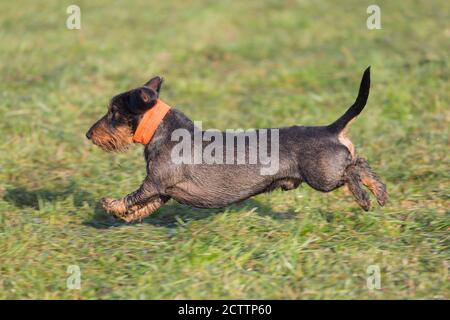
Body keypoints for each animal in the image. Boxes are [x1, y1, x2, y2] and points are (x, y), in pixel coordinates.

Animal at [87, 67, 386, 222]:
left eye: (113, 112)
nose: (88, 134)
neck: (162, 130)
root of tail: (331, 129)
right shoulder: (162, 192)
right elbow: (144, 206)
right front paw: (126, 216)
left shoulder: (153, 183)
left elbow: (131, 197)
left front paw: (110, 205)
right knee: (361, 163)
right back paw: (380, 193)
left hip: (323, 177)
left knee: (352, 171)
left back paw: (365, 197)